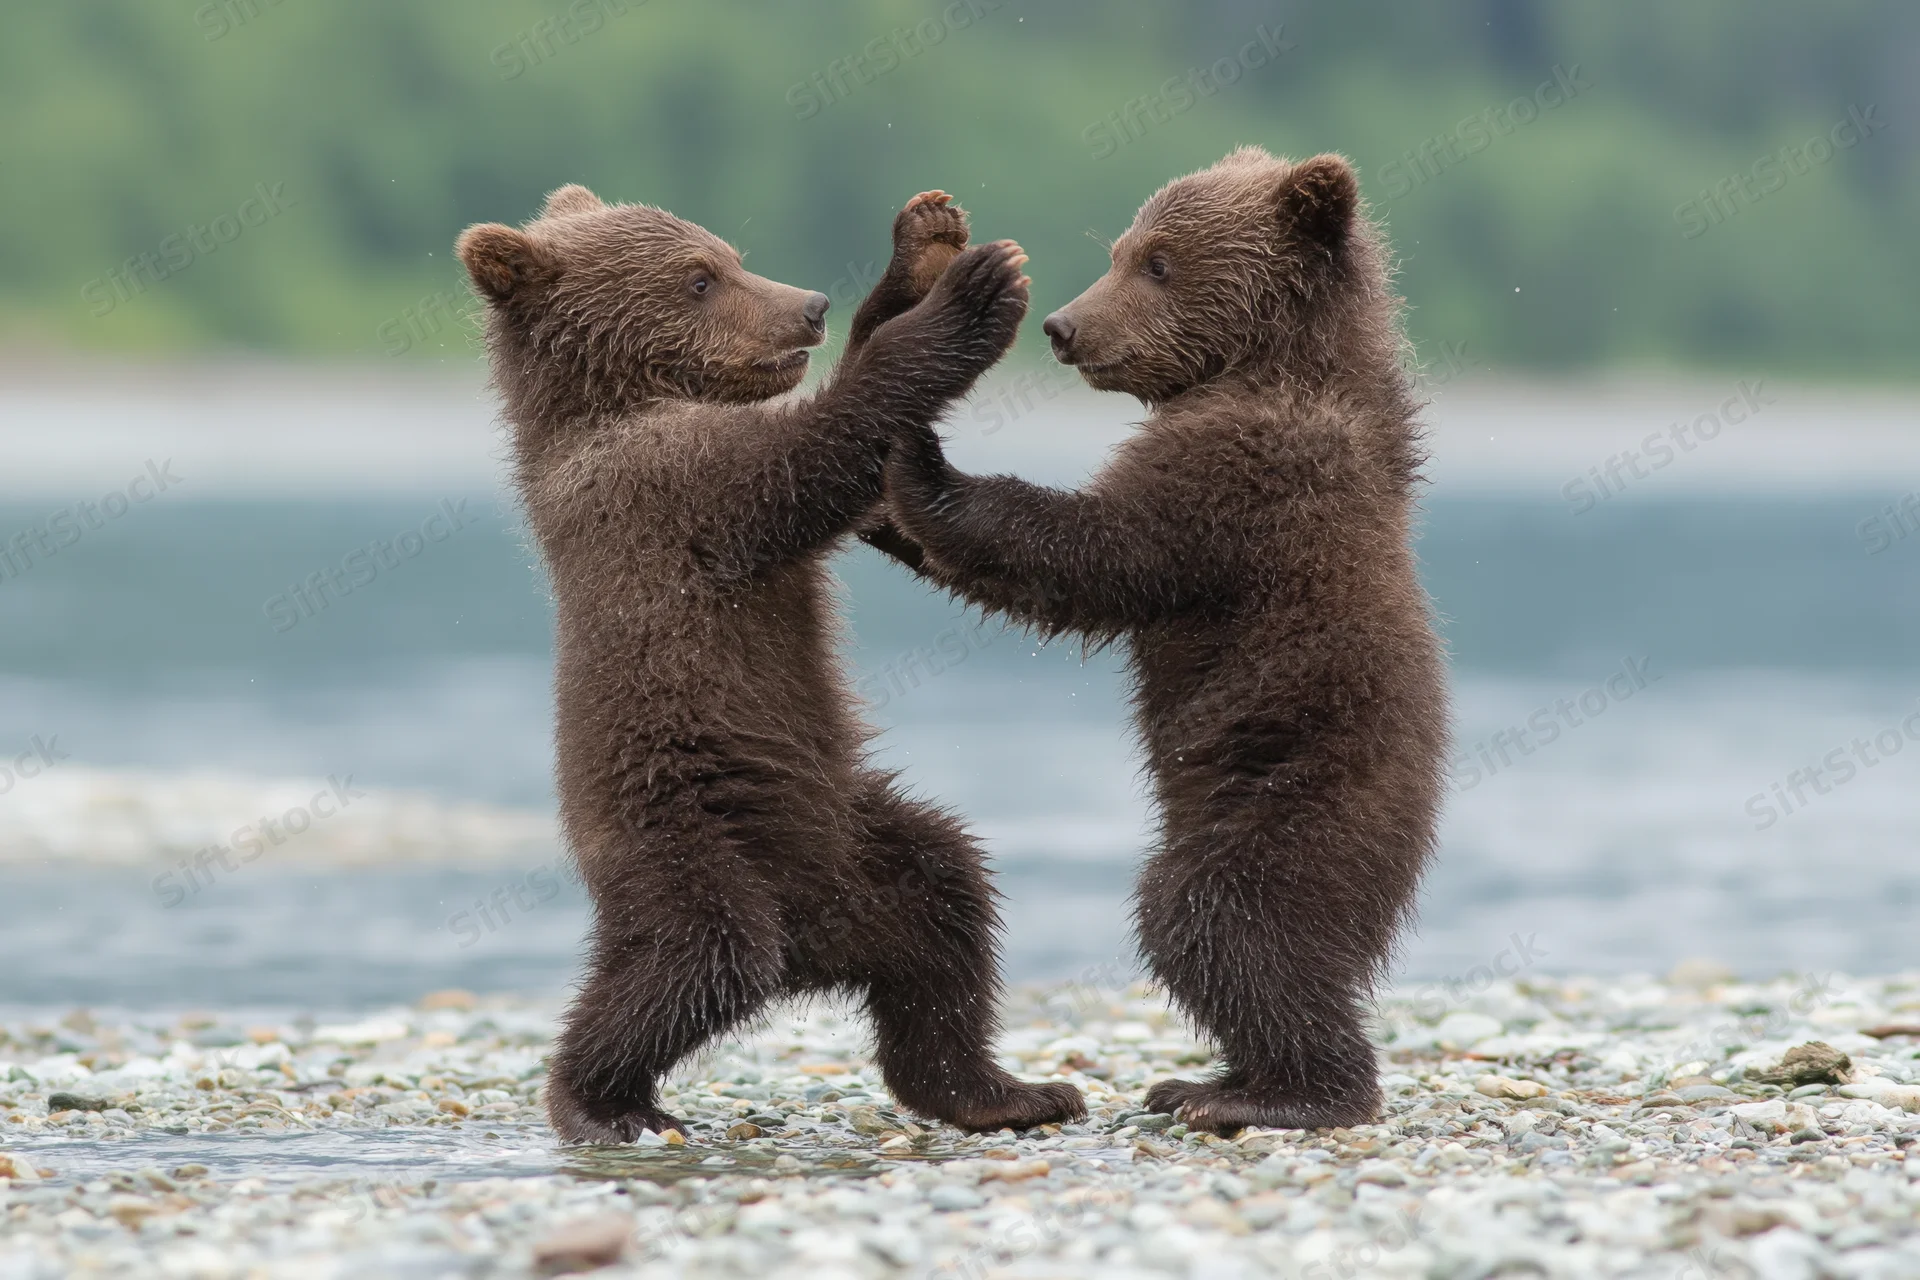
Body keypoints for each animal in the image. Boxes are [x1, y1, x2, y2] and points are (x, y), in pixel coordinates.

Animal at [455, 183, 1085, 1142]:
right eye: (699, 277)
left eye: (730, 255)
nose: (809, 305)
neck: (619, 402)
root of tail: (818, 949)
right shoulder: (663, 489)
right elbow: (808, 459)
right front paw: (975, 294)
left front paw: (921, 246)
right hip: (688, 835)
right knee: (695, 960)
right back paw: (600, 1101)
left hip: (860, 838)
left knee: (951, 904)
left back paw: (1005, 1092)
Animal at [876, 148, 1450, 1135]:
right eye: (1123, 248)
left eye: (1159, 263)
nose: (1064, 326)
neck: (1266, 366)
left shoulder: (1240, 480)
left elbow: (1097, 553)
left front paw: (924, 459)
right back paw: (1222, 1078)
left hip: (1297, 800)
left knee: (1219, 924)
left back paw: (1269, 1093)